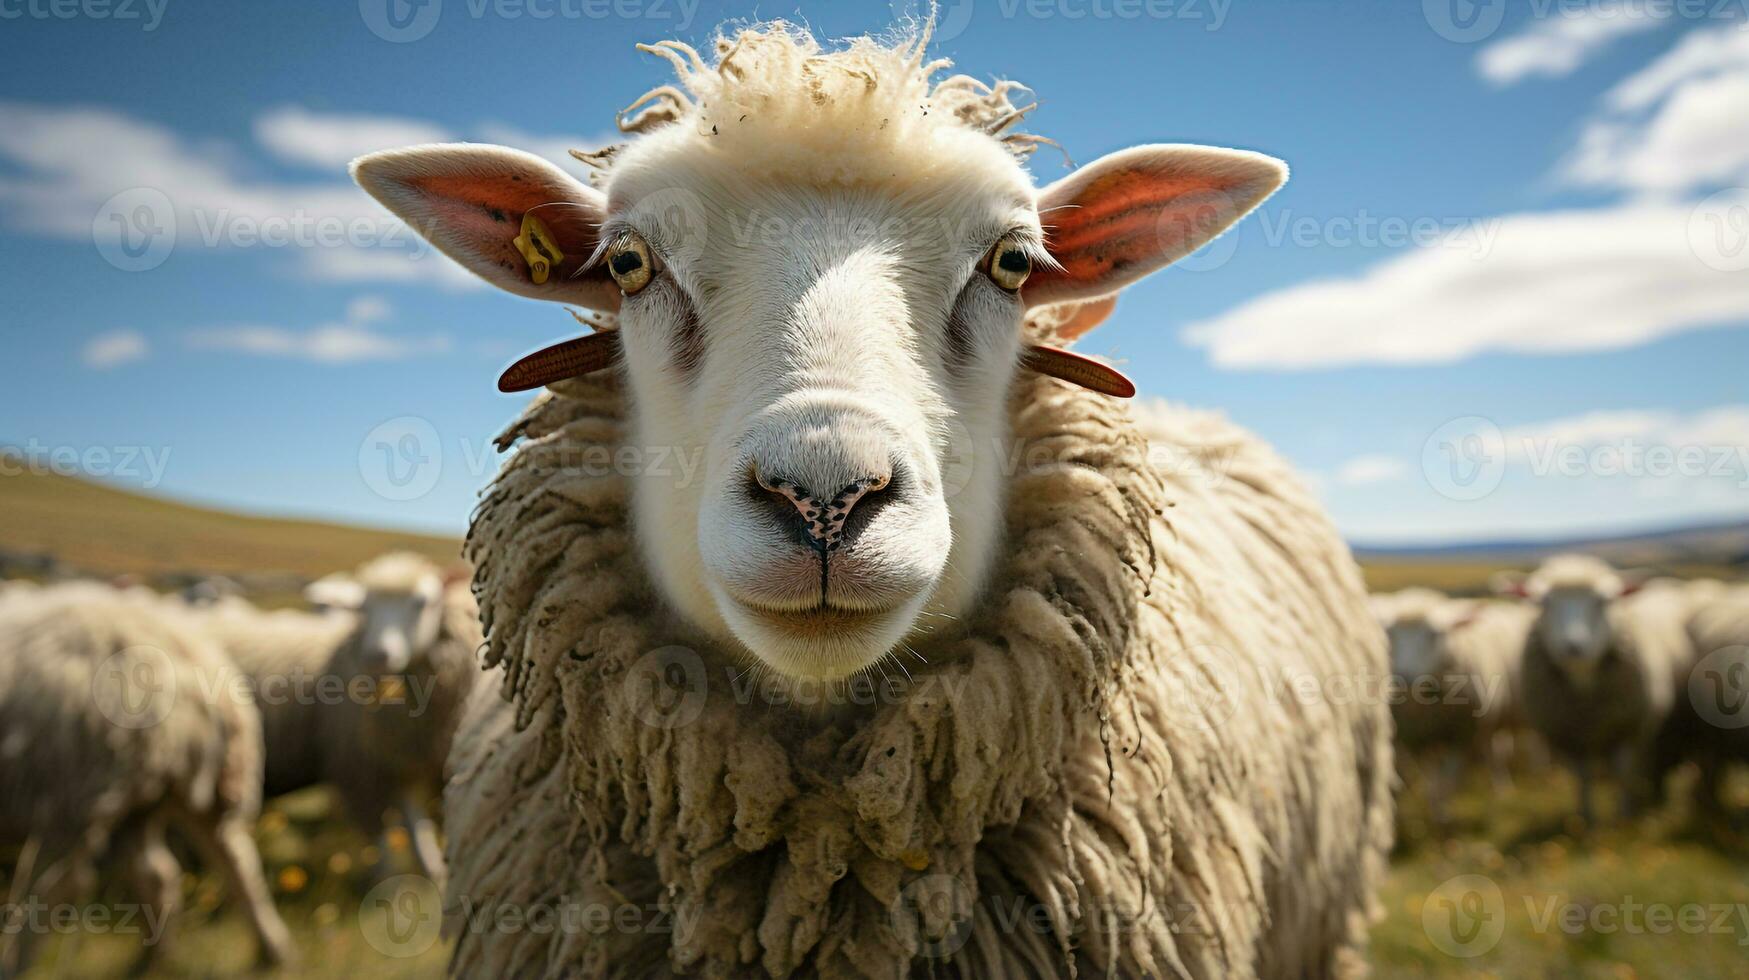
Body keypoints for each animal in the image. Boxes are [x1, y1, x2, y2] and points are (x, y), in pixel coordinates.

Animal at [195, 553, 482, 889]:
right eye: (363, 608)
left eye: (422, 602)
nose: (377, 655)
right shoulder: (360, 767)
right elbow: (381, 833)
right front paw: (388, 880)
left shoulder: (405, 760)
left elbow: (416, 823)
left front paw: (433, 869)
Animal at [1364, 588, 1532, 826]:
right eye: (1390, 634)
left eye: (1434, 635)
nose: (1404, 677)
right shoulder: (1417, 739)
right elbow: (1430, 776)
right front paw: (1433, 805)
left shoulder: (1463, 736)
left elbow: (1449, 779)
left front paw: (1442, 815)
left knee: (1497, 751)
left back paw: (1503, 788)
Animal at [1490, 556, 1693, 822]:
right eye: (1543, 602)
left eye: (1604, 600)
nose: (1574, 647)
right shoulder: (1570, 737)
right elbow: (1582, 777)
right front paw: (1587, 818)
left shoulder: (1627, 728)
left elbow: (1622, 772)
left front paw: (1623, 815)